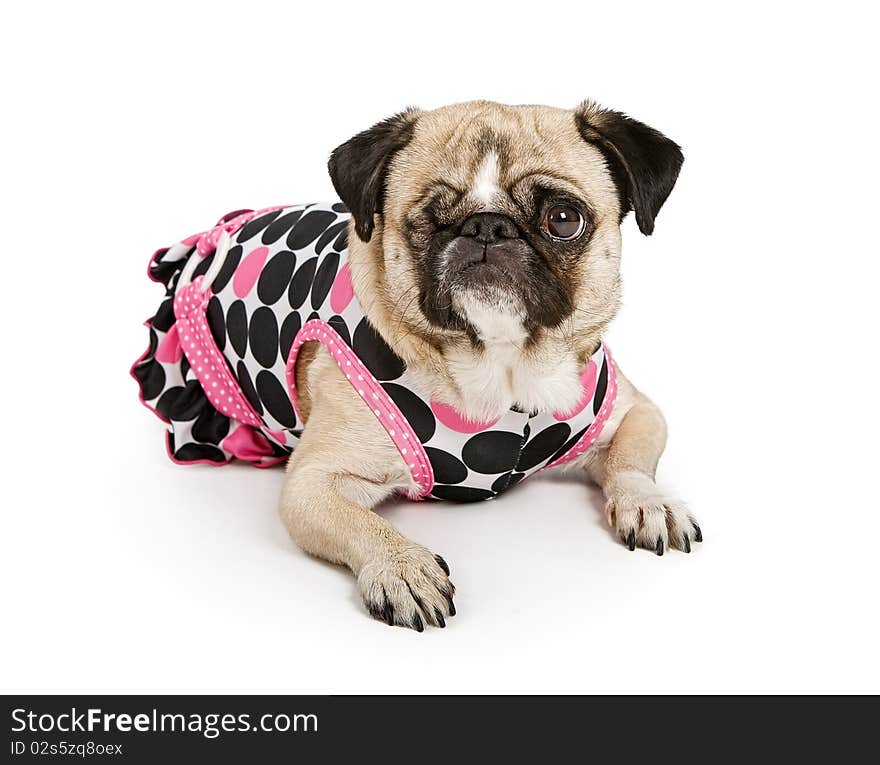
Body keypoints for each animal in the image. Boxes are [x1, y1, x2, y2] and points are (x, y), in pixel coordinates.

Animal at [278, 100, 696, 628]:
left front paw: (648, 502)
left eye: (563, 220)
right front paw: (401, 566)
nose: (487, 226)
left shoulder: (636, 412)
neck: (505, 364)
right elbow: (362, 522)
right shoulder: (313, 484)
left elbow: (631, 462)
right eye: (429, 220)